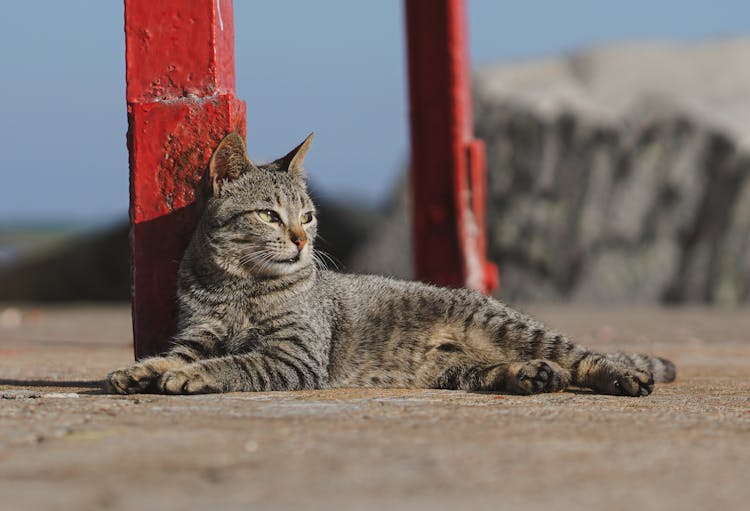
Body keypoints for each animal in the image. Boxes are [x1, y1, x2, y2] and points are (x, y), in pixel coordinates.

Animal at [108, 132, 680, 396]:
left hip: (516, 328)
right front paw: (140, 371)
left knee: (584, 357)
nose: (301, 241)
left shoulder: (293, 354)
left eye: (307, 216)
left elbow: (234, 363)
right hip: (455, 369)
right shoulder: (196, 333)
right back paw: (530, 376)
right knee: (511, 369)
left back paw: (622, 376)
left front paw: (190, 377)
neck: (238, 287)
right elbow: (172, 355)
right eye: (270, 215)